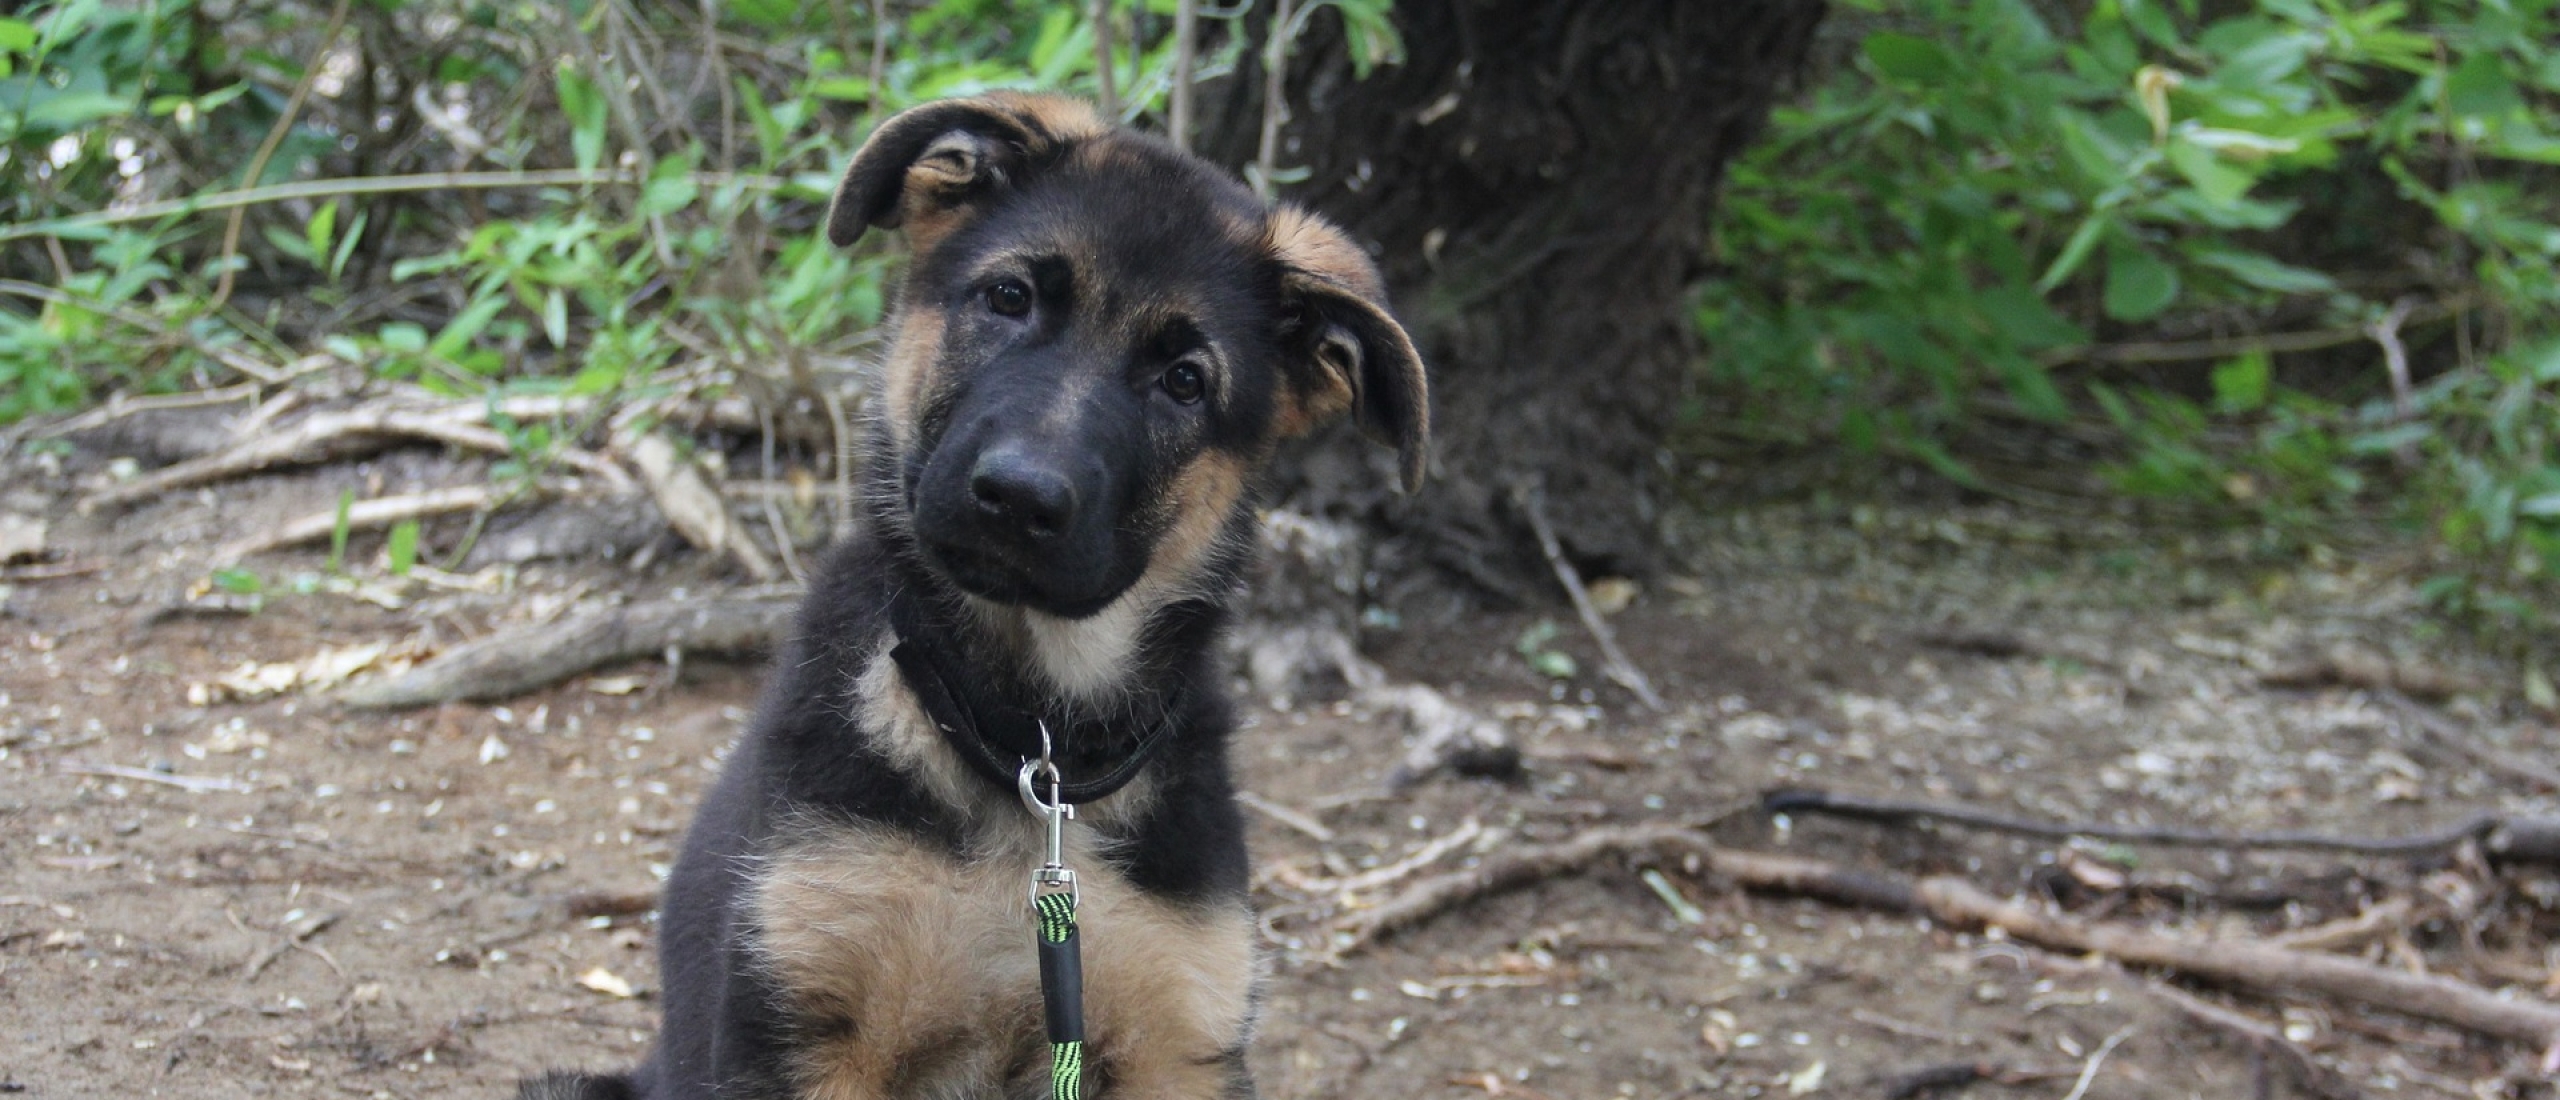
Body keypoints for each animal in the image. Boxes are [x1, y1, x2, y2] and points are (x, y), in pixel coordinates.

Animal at [522, 94, 1433, 1100]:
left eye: (1186, 382)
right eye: (1009, 298)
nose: (1020, 496)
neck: (1027, 744)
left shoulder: (1180, 1042)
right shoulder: (801, 1020)